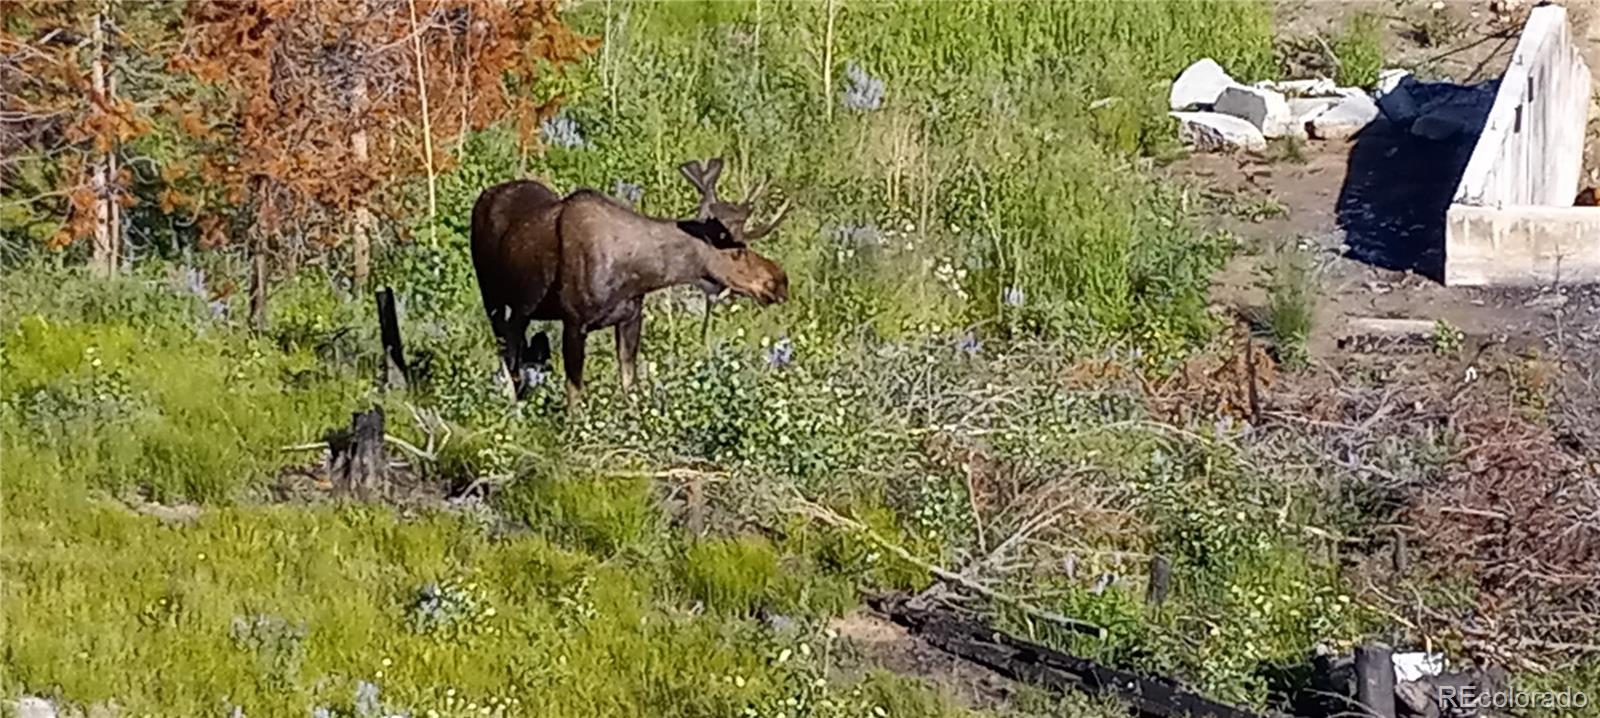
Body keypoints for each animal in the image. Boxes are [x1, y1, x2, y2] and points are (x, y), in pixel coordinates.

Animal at [467, 159, 790, 412]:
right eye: (737, 251)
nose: (780, 281)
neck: (636, 273)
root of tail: (482, 196)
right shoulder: (574, 321)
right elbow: (574, 394)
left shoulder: (630, 317)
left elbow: (630, 386)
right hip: (491, 296)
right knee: (506, 352)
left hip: (521, 310)